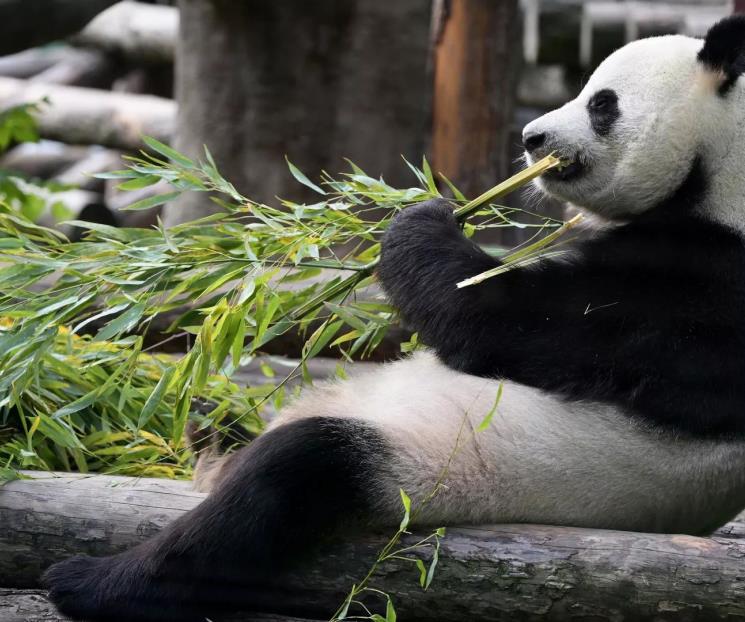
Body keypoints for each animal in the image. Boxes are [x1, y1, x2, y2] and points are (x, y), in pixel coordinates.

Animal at [44, 15, 745, 622]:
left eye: (602, 103)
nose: (532, 139)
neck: (719, 174)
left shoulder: (701, 290)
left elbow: (499, 321)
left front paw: (421, 218)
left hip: (432, 472)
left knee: (287, 479)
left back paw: (92, 580)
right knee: (234, 430)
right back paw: (206, 428)